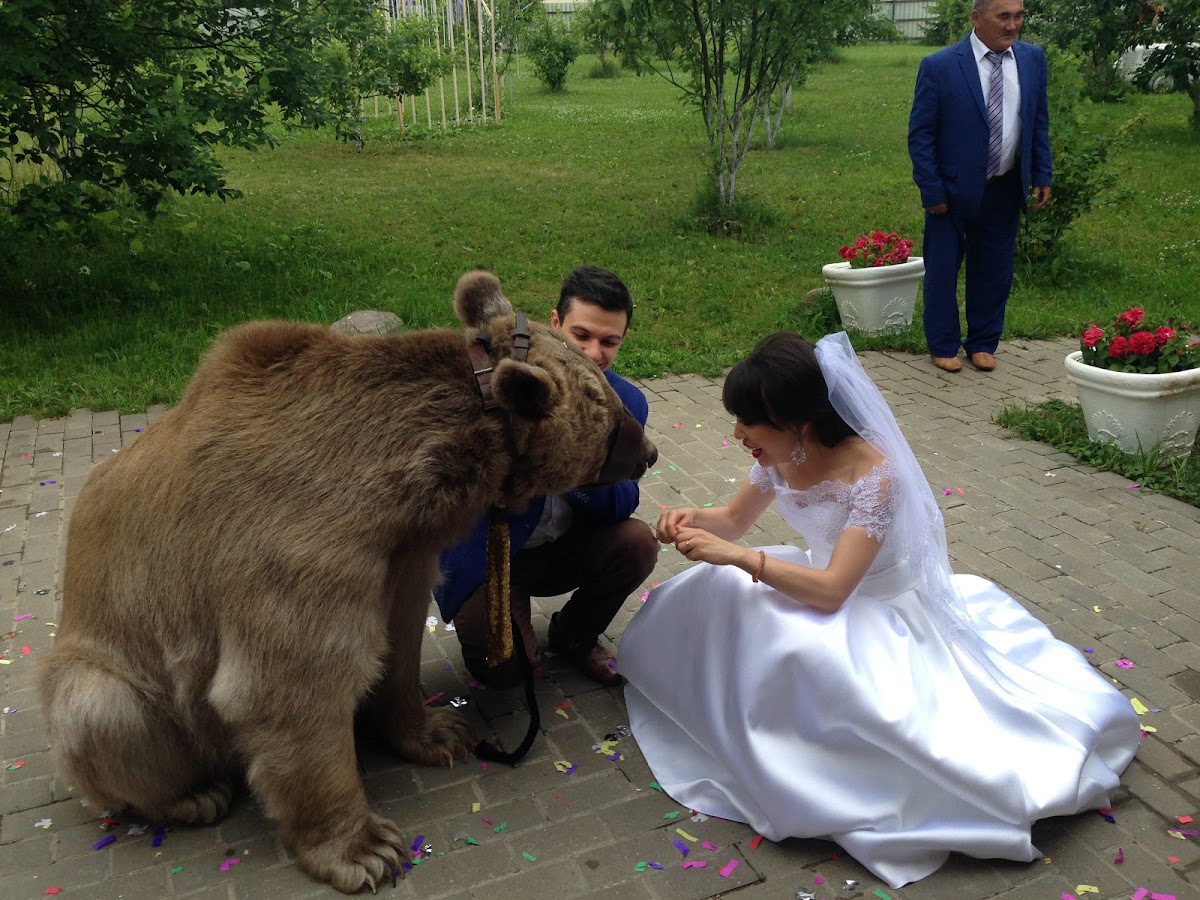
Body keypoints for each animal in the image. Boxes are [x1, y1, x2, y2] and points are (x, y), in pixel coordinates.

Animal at [36, 270, 657, 894]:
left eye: (609, 391)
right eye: (607, 412)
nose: (650, 451)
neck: (394, 485)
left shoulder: (399, 553)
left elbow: (398, 639)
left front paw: (439, 730)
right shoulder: (293, 547)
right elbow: (291, 684)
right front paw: (366, 849)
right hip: (117, 671)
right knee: (105, 712)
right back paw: (193, 795)